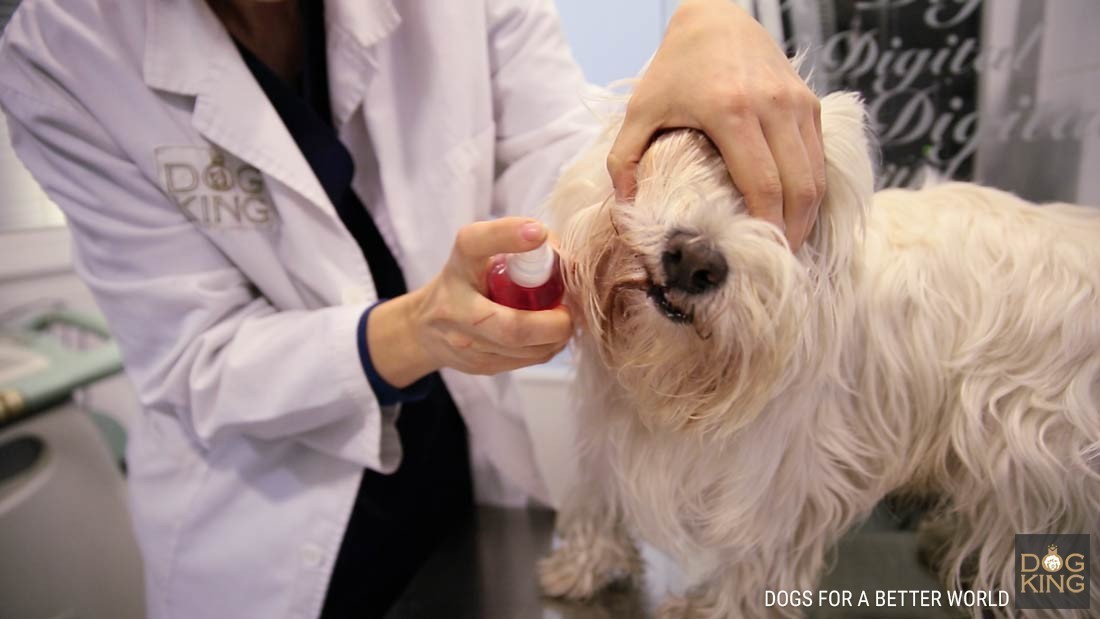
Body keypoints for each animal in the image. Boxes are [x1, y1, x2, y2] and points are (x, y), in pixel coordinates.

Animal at [539, 89, 1100, 615]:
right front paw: (582, 567)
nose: (694, 261)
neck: (668, 374)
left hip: (1034, 456)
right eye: (705, 143)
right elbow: (596, 494)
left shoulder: (784, 469)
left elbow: (756, 554)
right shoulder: (605, 424)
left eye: (793, 205)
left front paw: (709, 609)